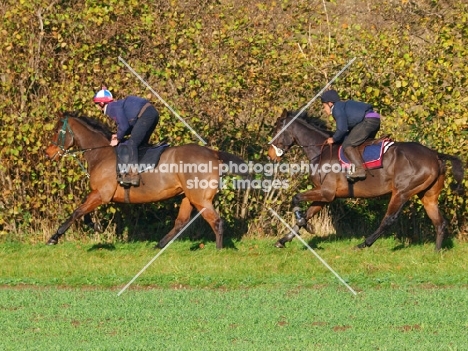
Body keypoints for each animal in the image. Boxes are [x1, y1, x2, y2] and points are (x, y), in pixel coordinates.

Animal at [45, 113, 247, 250]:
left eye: (56, 131)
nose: (48, 153)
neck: (101, 153)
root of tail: (214, 153)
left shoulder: (102, 194)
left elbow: (77, 212)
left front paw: (53, 238)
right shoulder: (99, 194)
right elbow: (83, 213)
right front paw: (96, 226)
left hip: (200, 198)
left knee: (216, 222)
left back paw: (218, 250)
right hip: (188, 196)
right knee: (181, 222)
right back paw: (158, 245)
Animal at [266, 109, 464, 250]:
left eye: (276, 129)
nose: (270, 155)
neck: (321, 152)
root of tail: (435, 155)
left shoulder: (326, 193)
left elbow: (296, 198)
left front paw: (304, 225)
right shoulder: (325, 196)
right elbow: (308, 212)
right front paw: (284, 240)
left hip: (402, 192)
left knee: (389, 219)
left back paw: (363, 244)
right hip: (427, 195)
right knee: (439, 222)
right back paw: (436, 252)